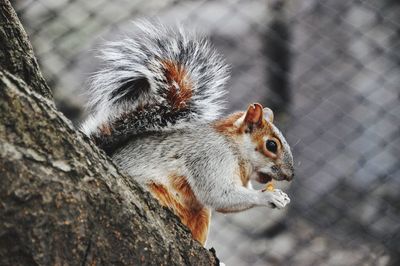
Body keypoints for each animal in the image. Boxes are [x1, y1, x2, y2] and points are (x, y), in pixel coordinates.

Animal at [81, 21, 294, 247]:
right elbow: (219, 195)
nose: (290, 175)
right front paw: (269, 197)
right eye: (271, 145)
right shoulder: (210, 157)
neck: (236, 151)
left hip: (201, 214)